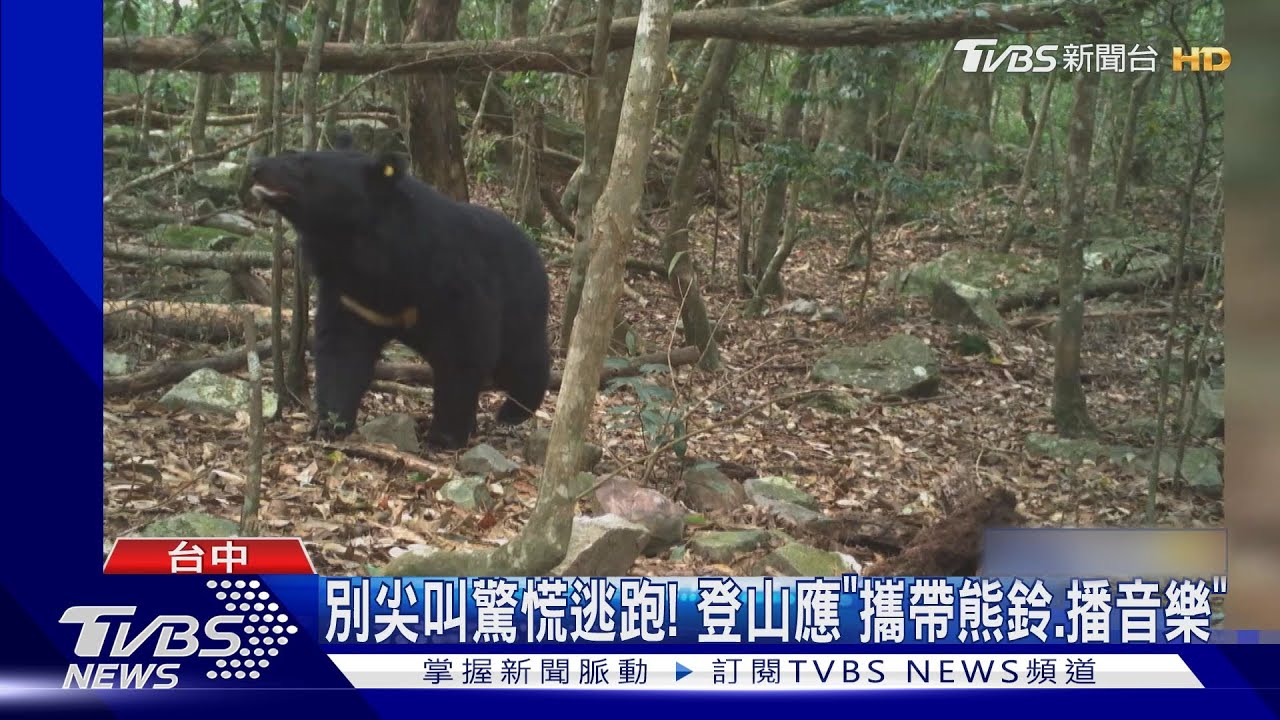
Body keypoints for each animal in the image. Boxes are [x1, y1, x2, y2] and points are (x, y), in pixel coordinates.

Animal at [247, 133, 552, 450]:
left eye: (304, 163)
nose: (255, 166)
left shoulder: (453, 283)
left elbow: (464, 352)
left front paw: (443, 436)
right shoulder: (352, 296)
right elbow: (342, 349)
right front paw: (331, 423)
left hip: (522, 304)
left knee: (523, 359)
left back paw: (513, 411)